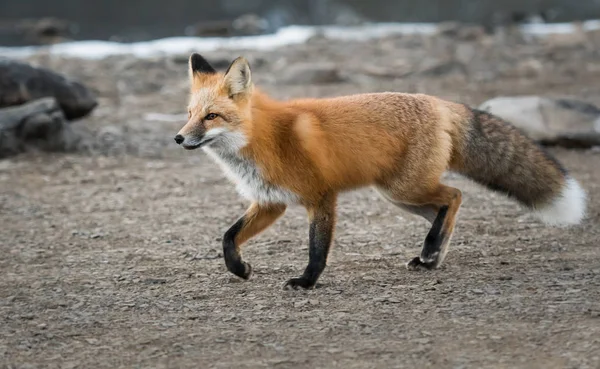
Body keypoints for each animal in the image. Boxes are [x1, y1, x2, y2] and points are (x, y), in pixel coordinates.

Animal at [173, 53, 584, 288]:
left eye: (211, 117)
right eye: (190, 114)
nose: (178, 138)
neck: (265, 140)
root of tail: (438, 101)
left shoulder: (321, 197)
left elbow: (317, 249)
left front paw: (306, 282)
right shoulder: (271, 202)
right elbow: (228, 237)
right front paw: (239, 269)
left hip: (404, 189)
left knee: (455, 195)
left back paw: (431, 250)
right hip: (399, 195)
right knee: (445, 209)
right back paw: (431, 255)